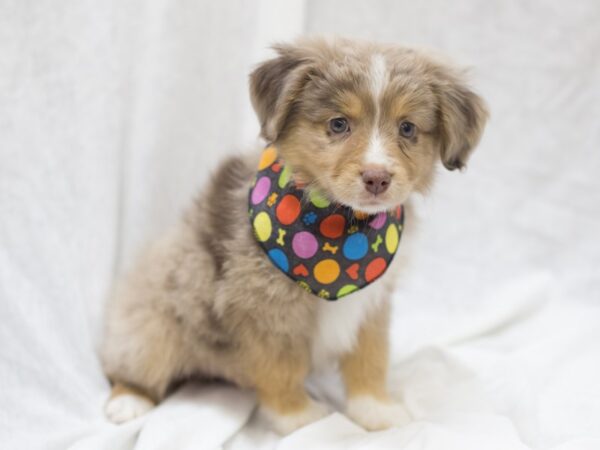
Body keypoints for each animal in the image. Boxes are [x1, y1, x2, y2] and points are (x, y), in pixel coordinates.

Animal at [102, 37, 488, 432]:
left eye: (408, 128)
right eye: (338, 124)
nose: (377, 178)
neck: (343, 229)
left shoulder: (372, 302)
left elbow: (371, 355)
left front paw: (375, 409)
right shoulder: (262, 305)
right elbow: (281, 366)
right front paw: (298, 417)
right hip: (156, 317)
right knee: (127, 361)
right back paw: (129, 399)